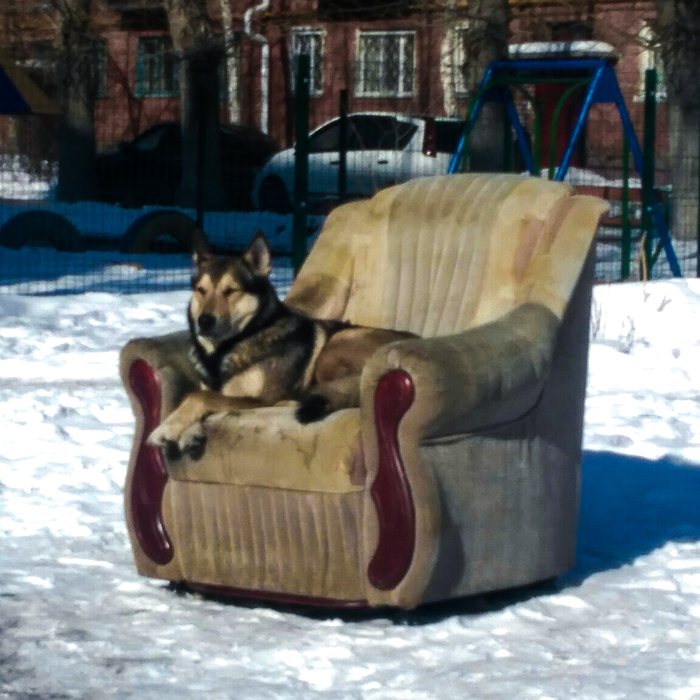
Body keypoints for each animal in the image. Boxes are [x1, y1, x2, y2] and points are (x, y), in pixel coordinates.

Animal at [145, 230, 412, 460]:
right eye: (200, 290)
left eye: (231, 291)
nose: (204, 321)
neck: (231, 345)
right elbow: (205, 396)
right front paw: (189, 435)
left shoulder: (259, 398)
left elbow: (199, 397)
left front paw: (165, 429)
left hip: (336, 346)